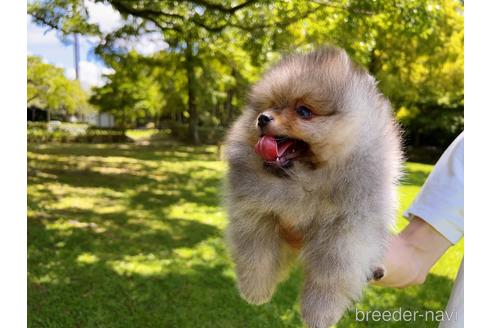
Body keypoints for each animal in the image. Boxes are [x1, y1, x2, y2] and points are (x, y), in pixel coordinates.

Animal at [225, 47, 402, 326]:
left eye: (304, 112)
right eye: (271, 106)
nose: (262, 118)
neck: (303, 180)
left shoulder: (345, 232)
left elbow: (328, 277)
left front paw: (319, 313)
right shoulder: (257, 214)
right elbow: (256, 257)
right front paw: (255, 292)